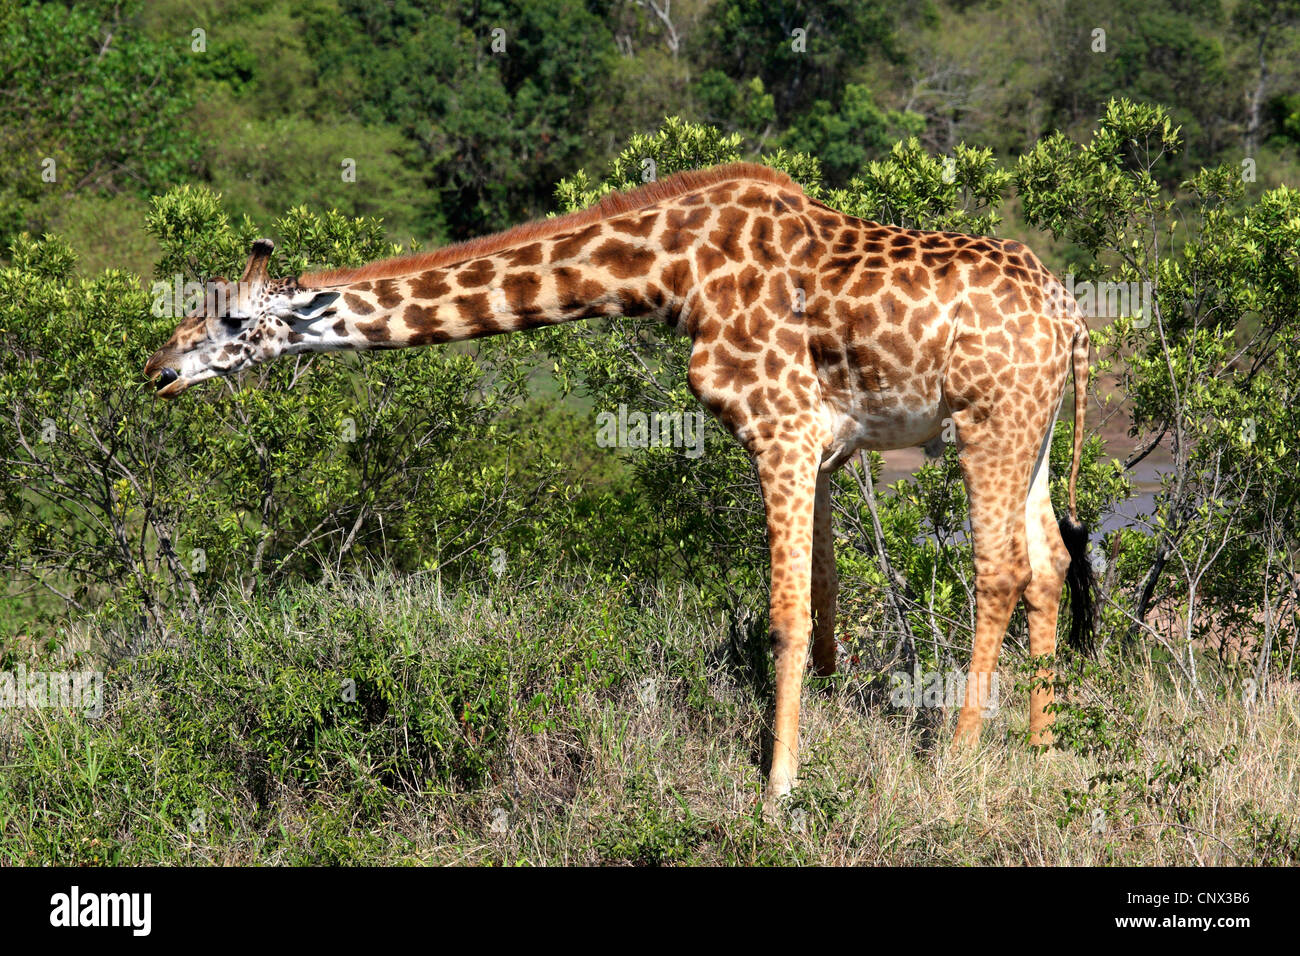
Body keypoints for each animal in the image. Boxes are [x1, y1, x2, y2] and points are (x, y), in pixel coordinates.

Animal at [144, 163, 1096, 804]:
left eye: (233, 320)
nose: (157, 369)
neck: (672, 273)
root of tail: (1074, 319)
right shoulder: (822, 441)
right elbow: (821, 612)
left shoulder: (779, 424)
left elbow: (786, 616)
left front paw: (779, 785)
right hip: (1034, 430)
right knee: (1049, 562)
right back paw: (1045, 750)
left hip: (987, 422)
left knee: (1000, 569)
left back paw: (961, 759)